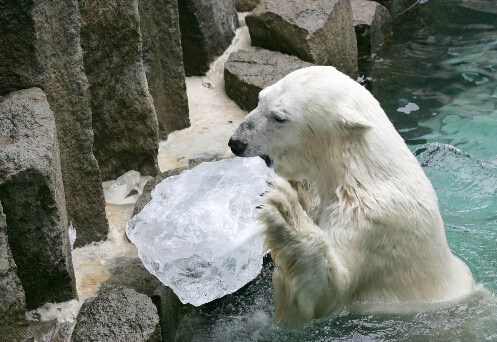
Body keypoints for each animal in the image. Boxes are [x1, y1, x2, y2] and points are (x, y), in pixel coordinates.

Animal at [227, 66, 474, 326]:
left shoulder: (374, 222)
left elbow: (327, 292)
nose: (236, 142)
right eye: (260, 99)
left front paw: (285, 211)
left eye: (279, 117)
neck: (363, 170)